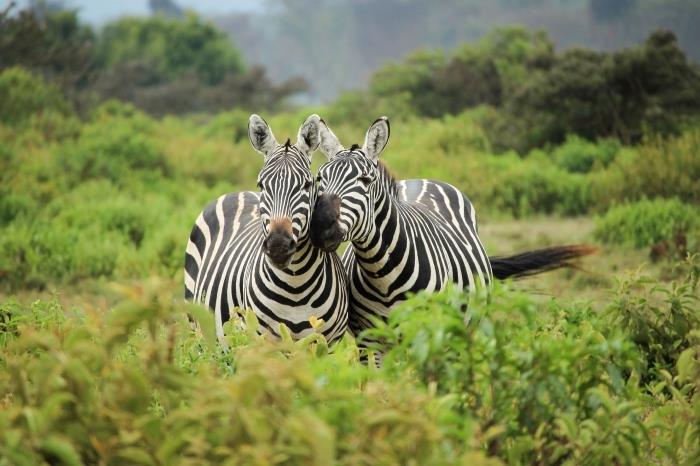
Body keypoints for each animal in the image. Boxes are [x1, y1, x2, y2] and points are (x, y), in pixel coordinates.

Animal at [186, 114, 350, 344]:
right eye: (261, 185)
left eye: (307, 185)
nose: (278, 246)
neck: (295, 284)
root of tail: (237, 192)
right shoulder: (262, 341)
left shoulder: (329, 343)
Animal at [308, 116, 592, 334]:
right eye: (320, 178)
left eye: (365, 181)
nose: (320, 226)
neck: (381, 273)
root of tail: (422, 179)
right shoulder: (370, 339)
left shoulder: (427, 331)